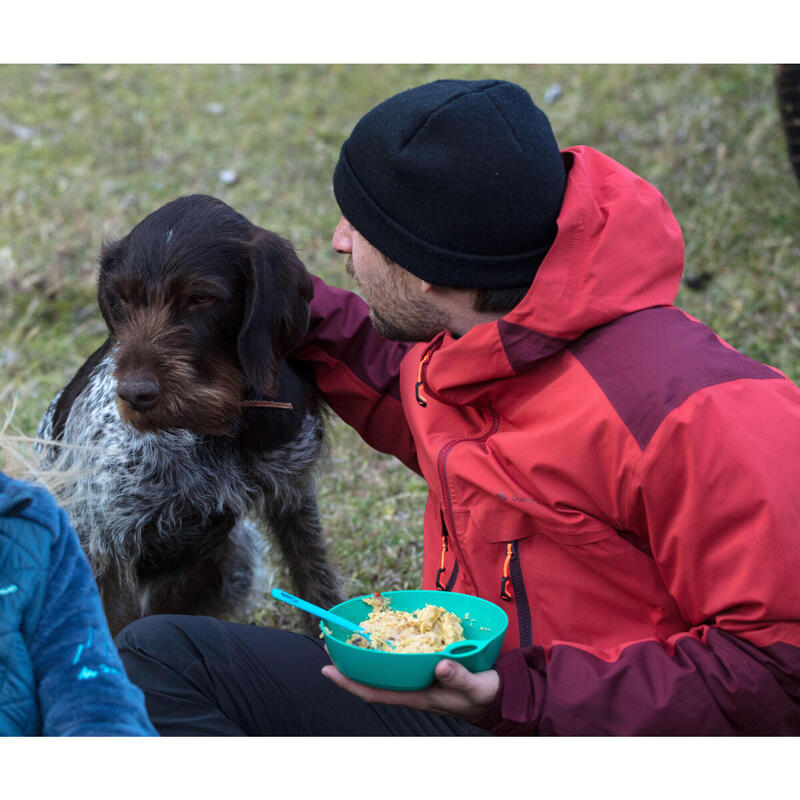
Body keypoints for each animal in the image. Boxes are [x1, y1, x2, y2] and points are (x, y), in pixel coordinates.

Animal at [36, 192, 342, 632]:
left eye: (201, 298)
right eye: (122, 298)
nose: (134, 393)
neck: (213, 423)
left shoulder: (292, 494)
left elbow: (315, 581)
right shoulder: (102, 543)